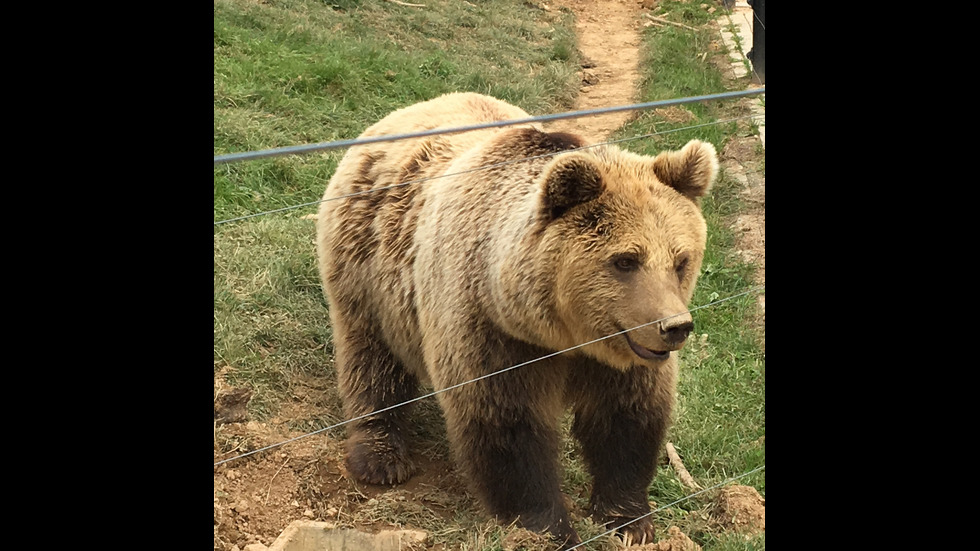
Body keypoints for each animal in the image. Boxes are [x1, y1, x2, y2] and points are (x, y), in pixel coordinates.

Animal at [316, 91, 720, 548]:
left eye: (680, 260)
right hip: (367, 271)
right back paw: (381, 456)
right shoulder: (490, 330)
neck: (563, 335)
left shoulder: (621, 358)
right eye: (625, 260)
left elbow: (627, 418)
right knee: (371, 360)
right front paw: (547, 527)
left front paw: (630, 520)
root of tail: (405, 112)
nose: (674, 327)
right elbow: (507, 425)